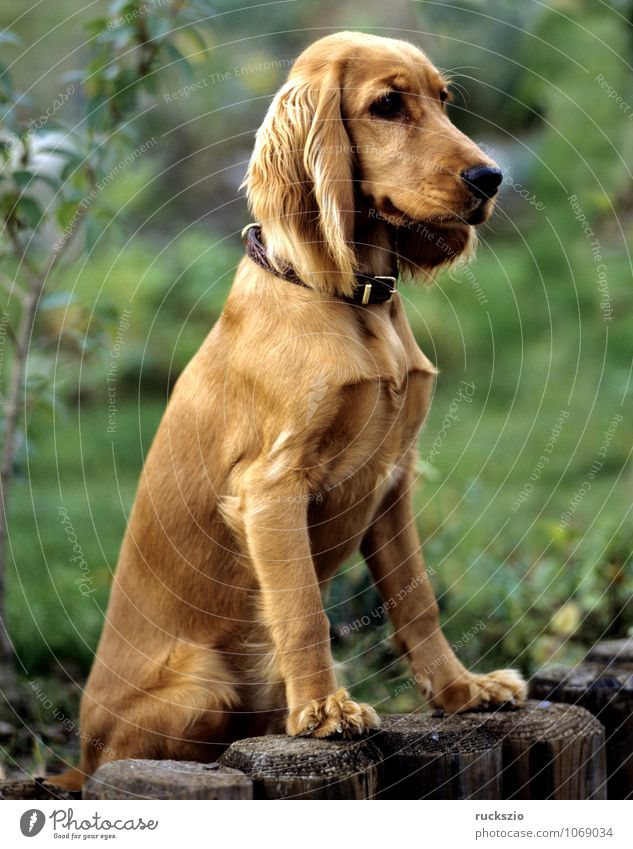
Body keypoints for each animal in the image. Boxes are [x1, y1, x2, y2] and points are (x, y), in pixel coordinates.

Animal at [53, 33, 524, 788]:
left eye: (443, 100)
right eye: (386, 106)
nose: (491, 178)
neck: (350, 299)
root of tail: (78, 756)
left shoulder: (393, 480)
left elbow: (417, 600)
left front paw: (463, 691)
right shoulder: (271, 487)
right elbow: (304, 609)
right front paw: (325, 712)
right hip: (201, 684)